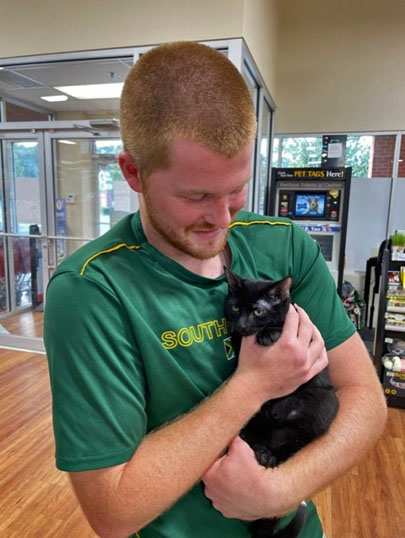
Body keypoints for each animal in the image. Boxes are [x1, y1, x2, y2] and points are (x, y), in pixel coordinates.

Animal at [224, 270, 338, 536]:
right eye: (235, 307)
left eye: (258, 311)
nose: (242, 324)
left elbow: (282, 327)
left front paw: (269, 334)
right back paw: (259, 448)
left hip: (323, 403)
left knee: (294, 445)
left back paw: (269, 456)